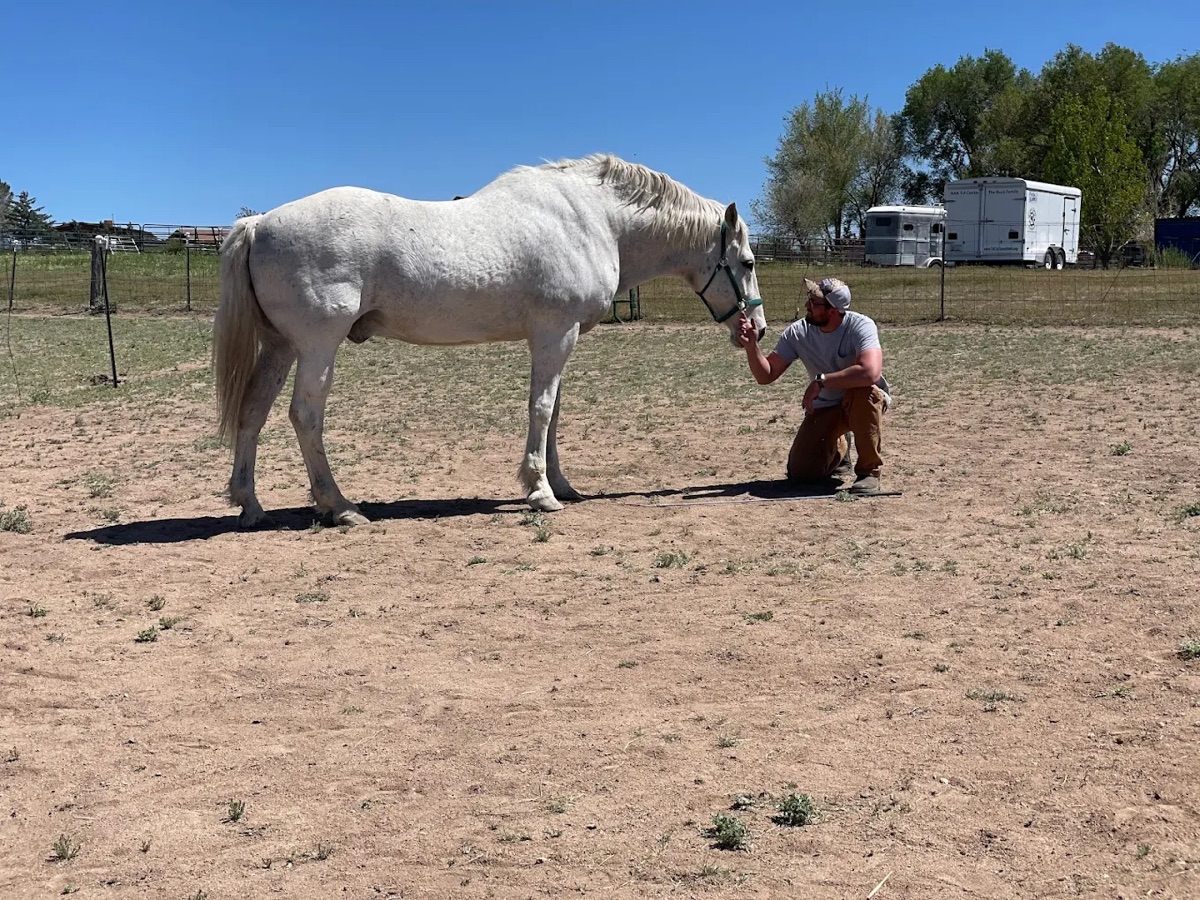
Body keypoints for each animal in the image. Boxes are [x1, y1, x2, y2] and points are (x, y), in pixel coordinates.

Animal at [212, 154, 766, 527]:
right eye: (746, 262)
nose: (757, 329)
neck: (594, 219)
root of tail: (259, 223)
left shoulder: (558, 340)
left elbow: (554, 413)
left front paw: (560, 483)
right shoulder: (554, 335)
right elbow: (540, 410)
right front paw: (541, 491)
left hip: (281, 347)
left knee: (253, 411)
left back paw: (250, 505)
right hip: (317, 347)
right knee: (305, 416)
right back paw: (340, 506)